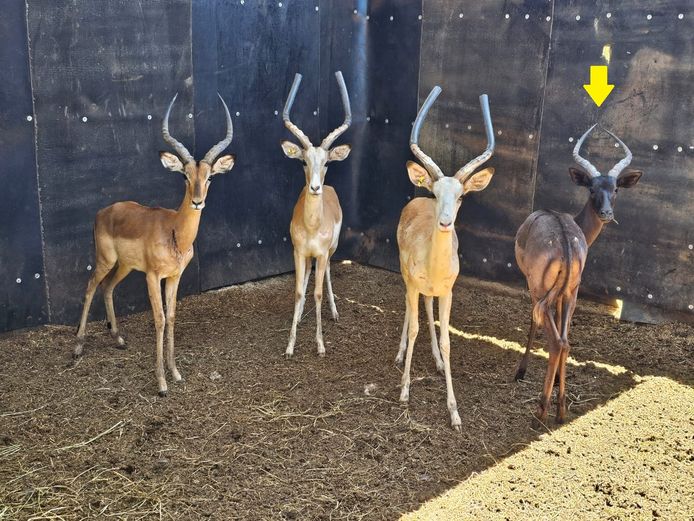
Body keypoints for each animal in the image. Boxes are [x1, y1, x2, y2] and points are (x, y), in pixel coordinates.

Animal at [73, 93, 236, 397]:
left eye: (209, 177)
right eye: (184, 175)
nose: (197, 201)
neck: (175, 232)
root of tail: (102, 212)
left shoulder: (174, 277)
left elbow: (171, 316)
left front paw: (176, 372)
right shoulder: (152, 276)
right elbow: (159, 319)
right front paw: (161, 383)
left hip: (124, 266)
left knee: (107, 287)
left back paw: (119, 339)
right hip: (106, 260)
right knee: (90, 286)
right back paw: (77, 347)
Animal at [396, 87, 495, 430]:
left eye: (462, 195)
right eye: (437, 193)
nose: (445, 222)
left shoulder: (449, 291)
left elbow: (447, 339)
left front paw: (454, 413)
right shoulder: (413, 283)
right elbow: (414, 326)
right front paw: (404, 391)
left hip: (433, 292)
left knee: (427, 309)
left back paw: (437, 363)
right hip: (406, 278)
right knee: (410, 310)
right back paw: (400, 354)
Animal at [514, 124, 642, 423]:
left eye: (615, 188)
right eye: (592, 188)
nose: (606, 213)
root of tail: (564, 243)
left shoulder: (535, 289)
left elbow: (532, 323)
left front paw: (521, 372)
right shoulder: (564, 294)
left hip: (540, 290)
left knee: (556, 340)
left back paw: (542, 409)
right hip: (570, 293)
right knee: (565, 341)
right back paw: (560, 409)